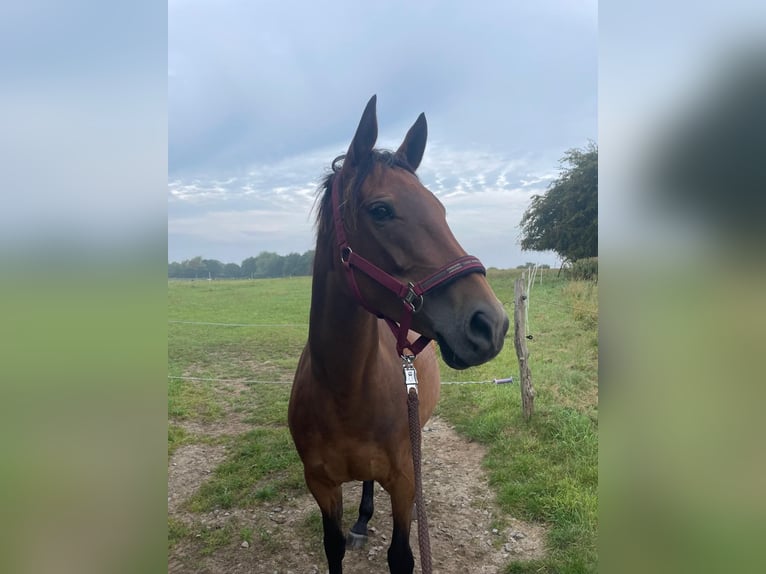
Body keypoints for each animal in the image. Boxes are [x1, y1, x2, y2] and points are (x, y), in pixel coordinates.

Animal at [288, 95, 509, 574]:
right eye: (381, 210)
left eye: (441, 209)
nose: (491, 323)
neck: (344, 390)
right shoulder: (321, 486)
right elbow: (333, 547)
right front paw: (353, 529)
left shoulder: (404, 482)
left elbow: (402, 556)